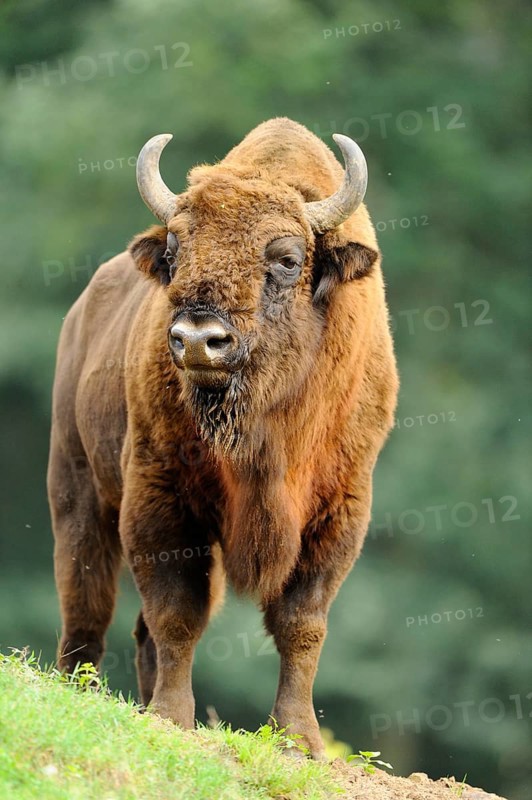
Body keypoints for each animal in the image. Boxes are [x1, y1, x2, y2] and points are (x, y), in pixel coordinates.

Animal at [48, 117, 398, 758]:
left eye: (286, 257)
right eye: (175, 249)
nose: (196, 338)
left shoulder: (340, 511)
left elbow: (301, 623)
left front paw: (298, 739)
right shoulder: (159, 499)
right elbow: (176, 613)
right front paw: (171, 718)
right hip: (77, 485)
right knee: (87, 601)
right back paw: (76, 690)